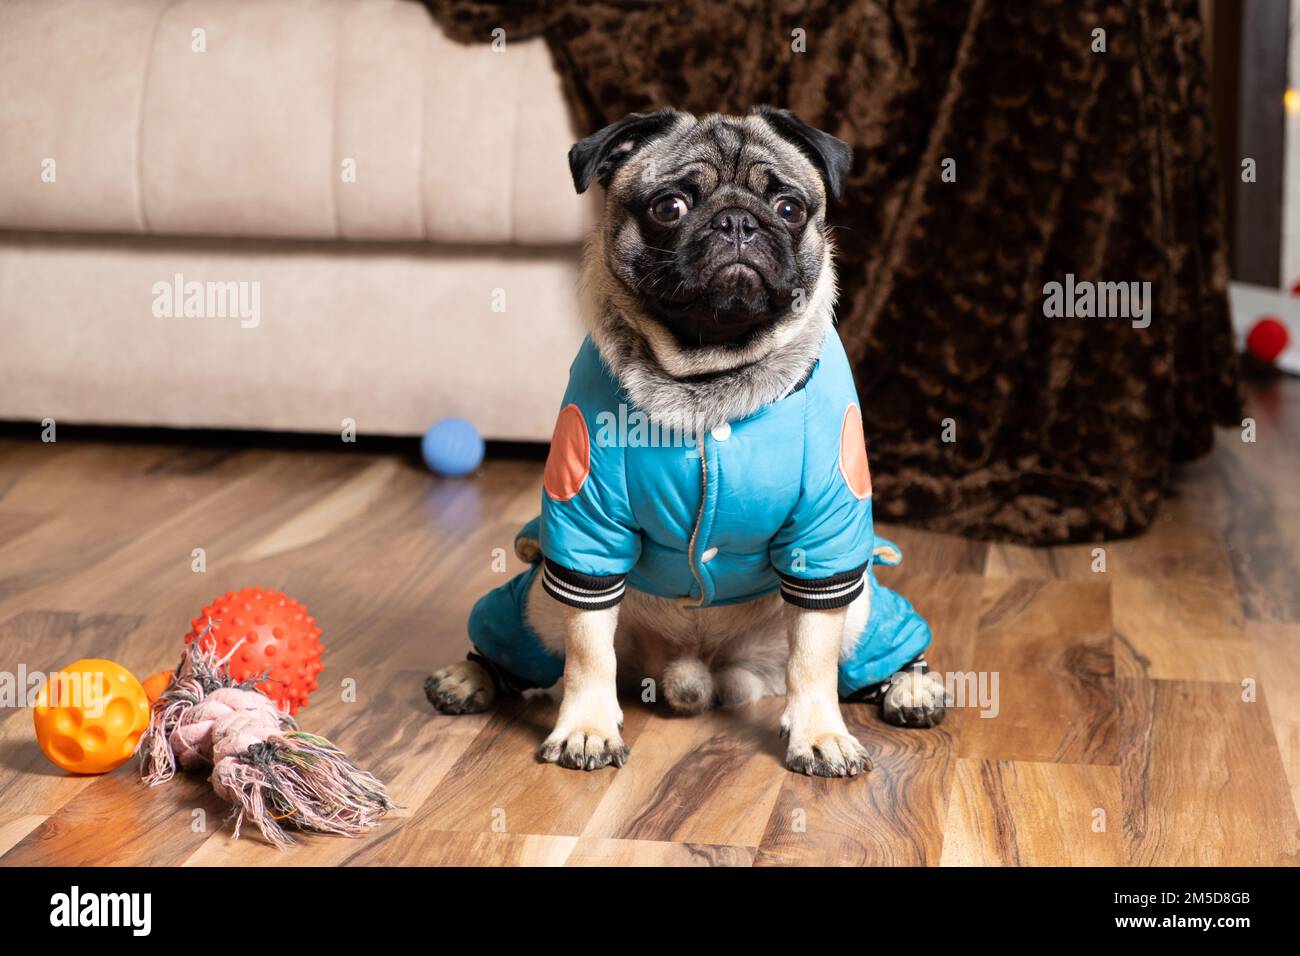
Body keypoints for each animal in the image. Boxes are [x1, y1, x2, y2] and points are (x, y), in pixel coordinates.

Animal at [426, 106, 946, 780]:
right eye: (669, 207)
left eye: (788, 207)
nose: (738, 220)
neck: (710, 377)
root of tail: (696, 673)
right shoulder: (586, 533)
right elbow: (588, 653)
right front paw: (587, 727)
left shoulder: (824, 539)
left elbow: (813, 660)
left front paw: (820, 734)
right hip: (537, 602)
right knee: (526, 643)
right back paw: (469, 677)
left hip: (858, 609)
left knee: (868, 648)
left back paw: (910, 685)